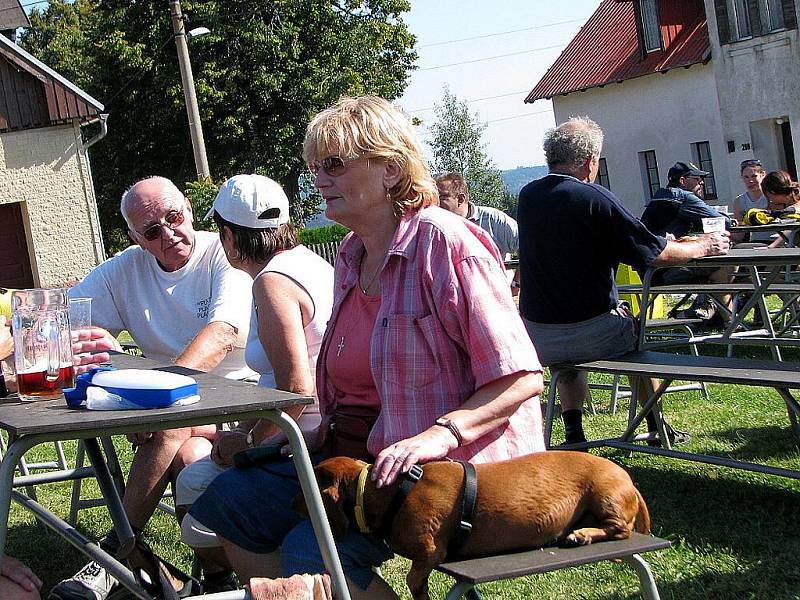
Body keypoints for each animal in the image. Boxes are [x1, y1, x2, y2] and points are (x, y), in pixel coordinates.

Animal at [300, 452, 648, 596]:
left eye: (302, 491)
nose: (291, 501)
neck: (391, 492)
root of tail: (631, 484)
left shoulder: (430, 552)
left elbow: (414, 579)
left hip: (605, 494)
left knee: (621, 529)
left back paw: (582, 534)